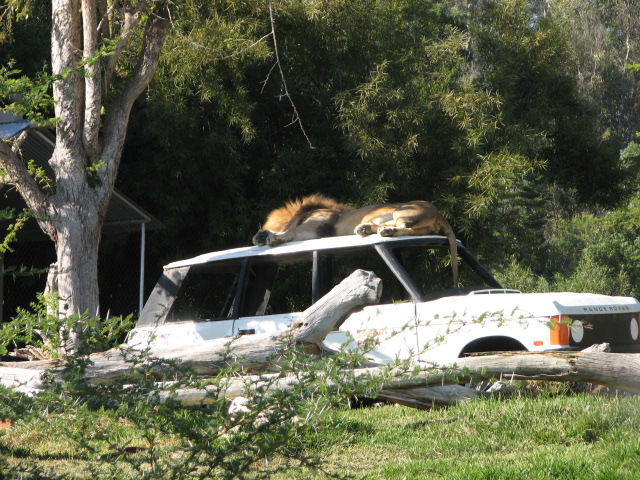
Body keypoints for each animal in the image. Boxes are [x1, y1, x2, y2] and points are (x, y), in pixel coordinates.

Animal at [252, 194, 458, 288]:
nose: (258, 234)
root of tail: (439, 212)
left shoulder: (315, 225)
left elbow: (291, 231)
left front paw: (272, 237)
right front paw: (261, 236)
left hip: (398, 210)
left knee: (404, 226)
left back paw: (383, 231)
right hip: (391, 217)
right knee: (412, 229)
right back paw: (369, 229)